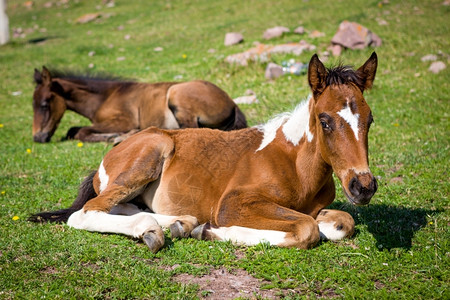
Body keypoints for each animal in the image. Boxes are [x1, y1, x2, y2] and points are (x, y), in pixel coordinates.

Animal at [33, 68, 248, 143]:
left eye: (44, 104)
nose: (38, 138)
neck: (105, 97)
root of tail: (232, 103)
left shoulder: (122, 121)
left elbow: (81, 131)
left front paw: (112, 136)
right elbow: (73, 130)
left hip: (175, 94)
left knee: (189, 130)